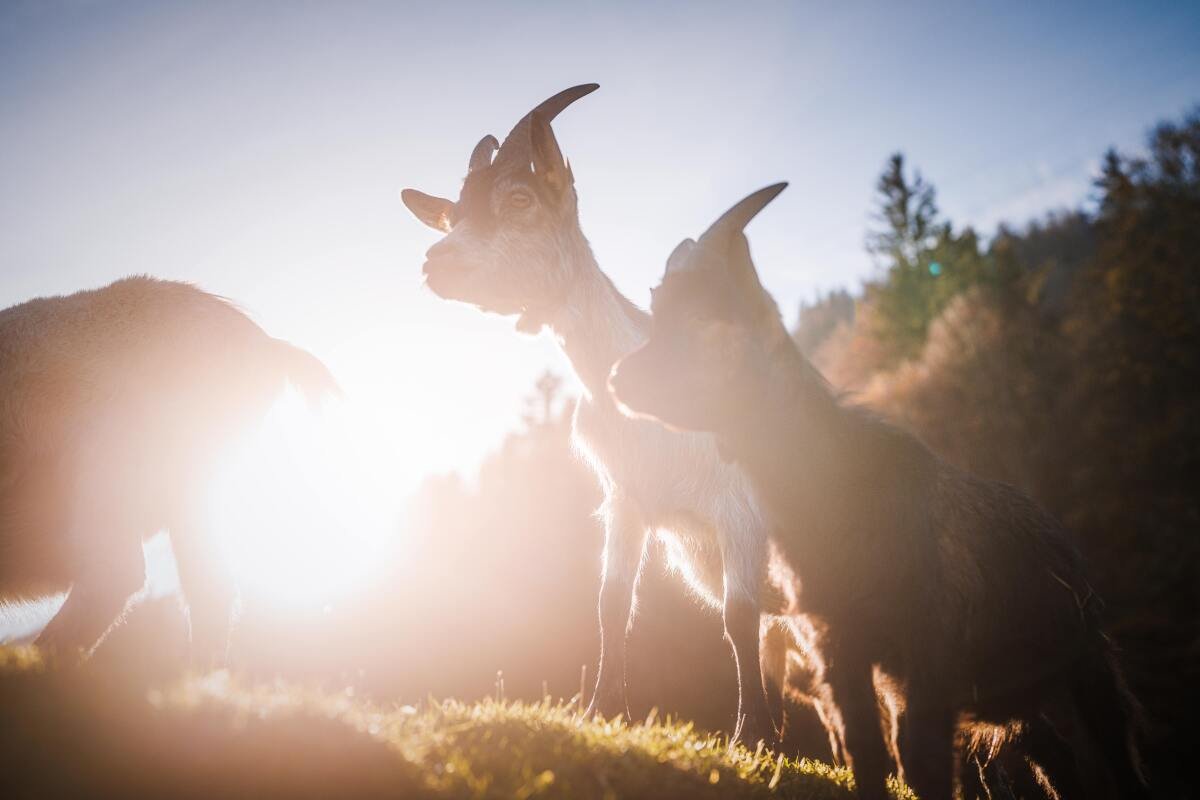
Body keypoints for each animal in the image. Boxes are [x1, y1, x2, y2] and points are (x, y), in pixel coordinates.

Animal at [400, 85, 795, 746]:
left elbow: (739, 617)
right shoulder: (626, 501)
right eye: (453, 216)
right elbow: (612, 604)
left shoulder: (739, 510)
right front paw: (603, 710)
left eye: (520, 198)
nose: (436, 262)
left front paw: (752, 737)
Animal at [608, 185, 1149, 800]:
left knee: (1115, 758)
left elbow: (919, 759)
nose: (619, 379)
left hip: (1089, 669)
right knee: (1054, 756)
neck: (834, 485)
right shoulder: (839, 646)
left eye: (701, 319)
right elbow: (866, 750)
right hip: (1016, 690)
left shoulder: (928, 653)